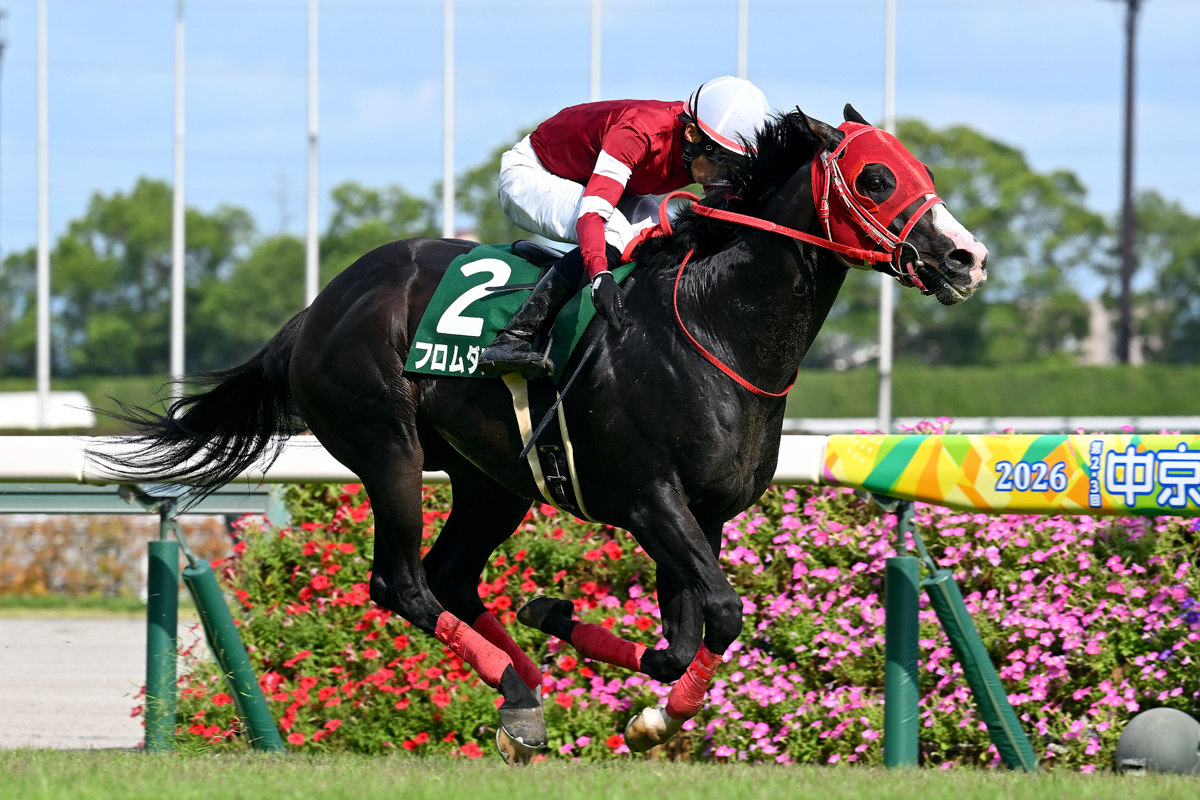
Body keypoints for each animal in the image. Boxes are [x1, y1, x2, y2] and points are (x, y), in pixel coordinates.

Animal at [96, 105, 988, 761]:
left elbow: (684, 636)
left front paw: (603, 664)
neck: (713, 328)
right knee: (402, 584)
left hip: (490, 480)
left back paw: (522, 696)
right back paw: (514, 684)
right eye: (877, 177)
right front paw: (636, 696)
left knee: (451, 577)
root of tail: (317, 311)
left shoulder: (700, 514)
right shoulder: (650, 499)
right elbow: (725, 612)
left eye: (924, 173)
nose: (967, 258)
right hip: (388, 447)